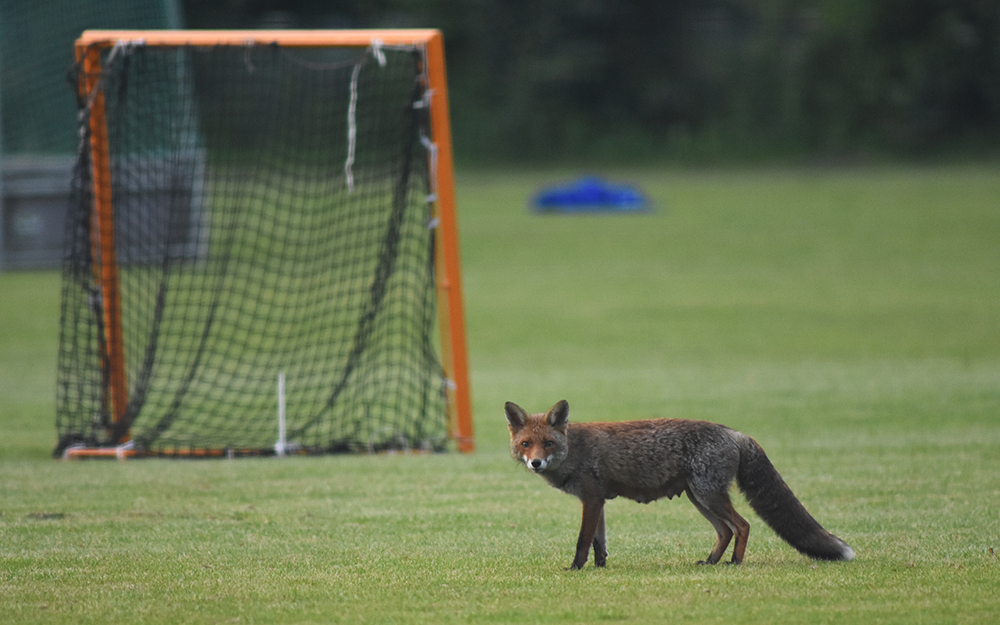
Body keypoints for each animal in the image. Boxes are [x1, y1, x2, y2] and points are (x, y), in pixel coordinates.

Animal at [504, 400, 856, 572]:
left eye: (548, 443)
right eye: (526, 444)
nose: (536, 463)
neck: (575, 450)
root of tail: (735, 431)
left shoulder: (591, 499)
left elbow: (582, 542)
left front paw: (576, 569)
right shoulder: (599, 501)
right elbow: (599, 543)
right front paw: (601, 567)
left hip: (709, 495)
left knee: (742, 525)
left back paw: (735, 563)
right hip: (698, 498)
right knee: (726, 531)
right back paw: (712, 562)